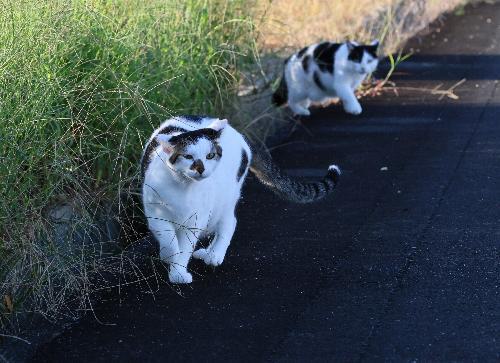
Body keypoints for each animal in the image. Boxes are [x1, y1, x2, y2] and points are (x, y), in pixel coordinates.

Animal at [143, 116, 342, 284]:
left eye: (209, 156)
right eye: (188, 157)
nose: (201, 169)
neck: (183, 186)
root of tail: (238, 133)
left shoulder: (194, 220)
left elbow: (185, 246)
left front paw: (178, 272)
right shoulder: (156, 213)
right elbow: (169, 240)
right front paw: (169, 256)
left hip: (227, 198)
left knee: (230, 223)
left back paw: (214, 255)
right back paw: (206, 252)